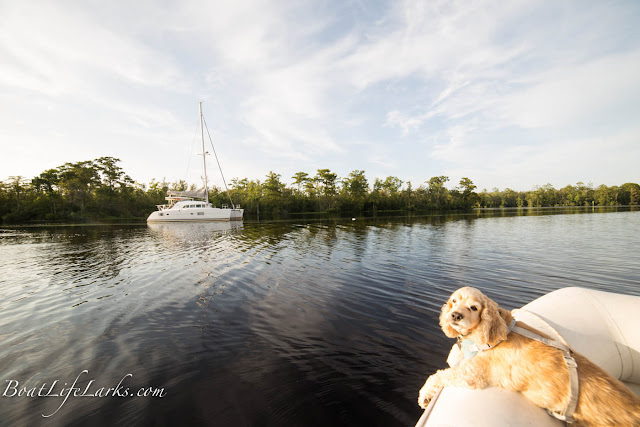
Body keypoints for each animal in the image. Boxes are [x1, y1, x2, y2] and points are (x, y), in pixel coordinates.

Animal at [418, 288, 640, 427]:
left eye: (474, 307)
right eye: (454, 301)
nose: (455, 315)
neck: (499, 332)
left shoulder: (473, 373)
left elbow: (439, 376)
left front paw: (425, 396)